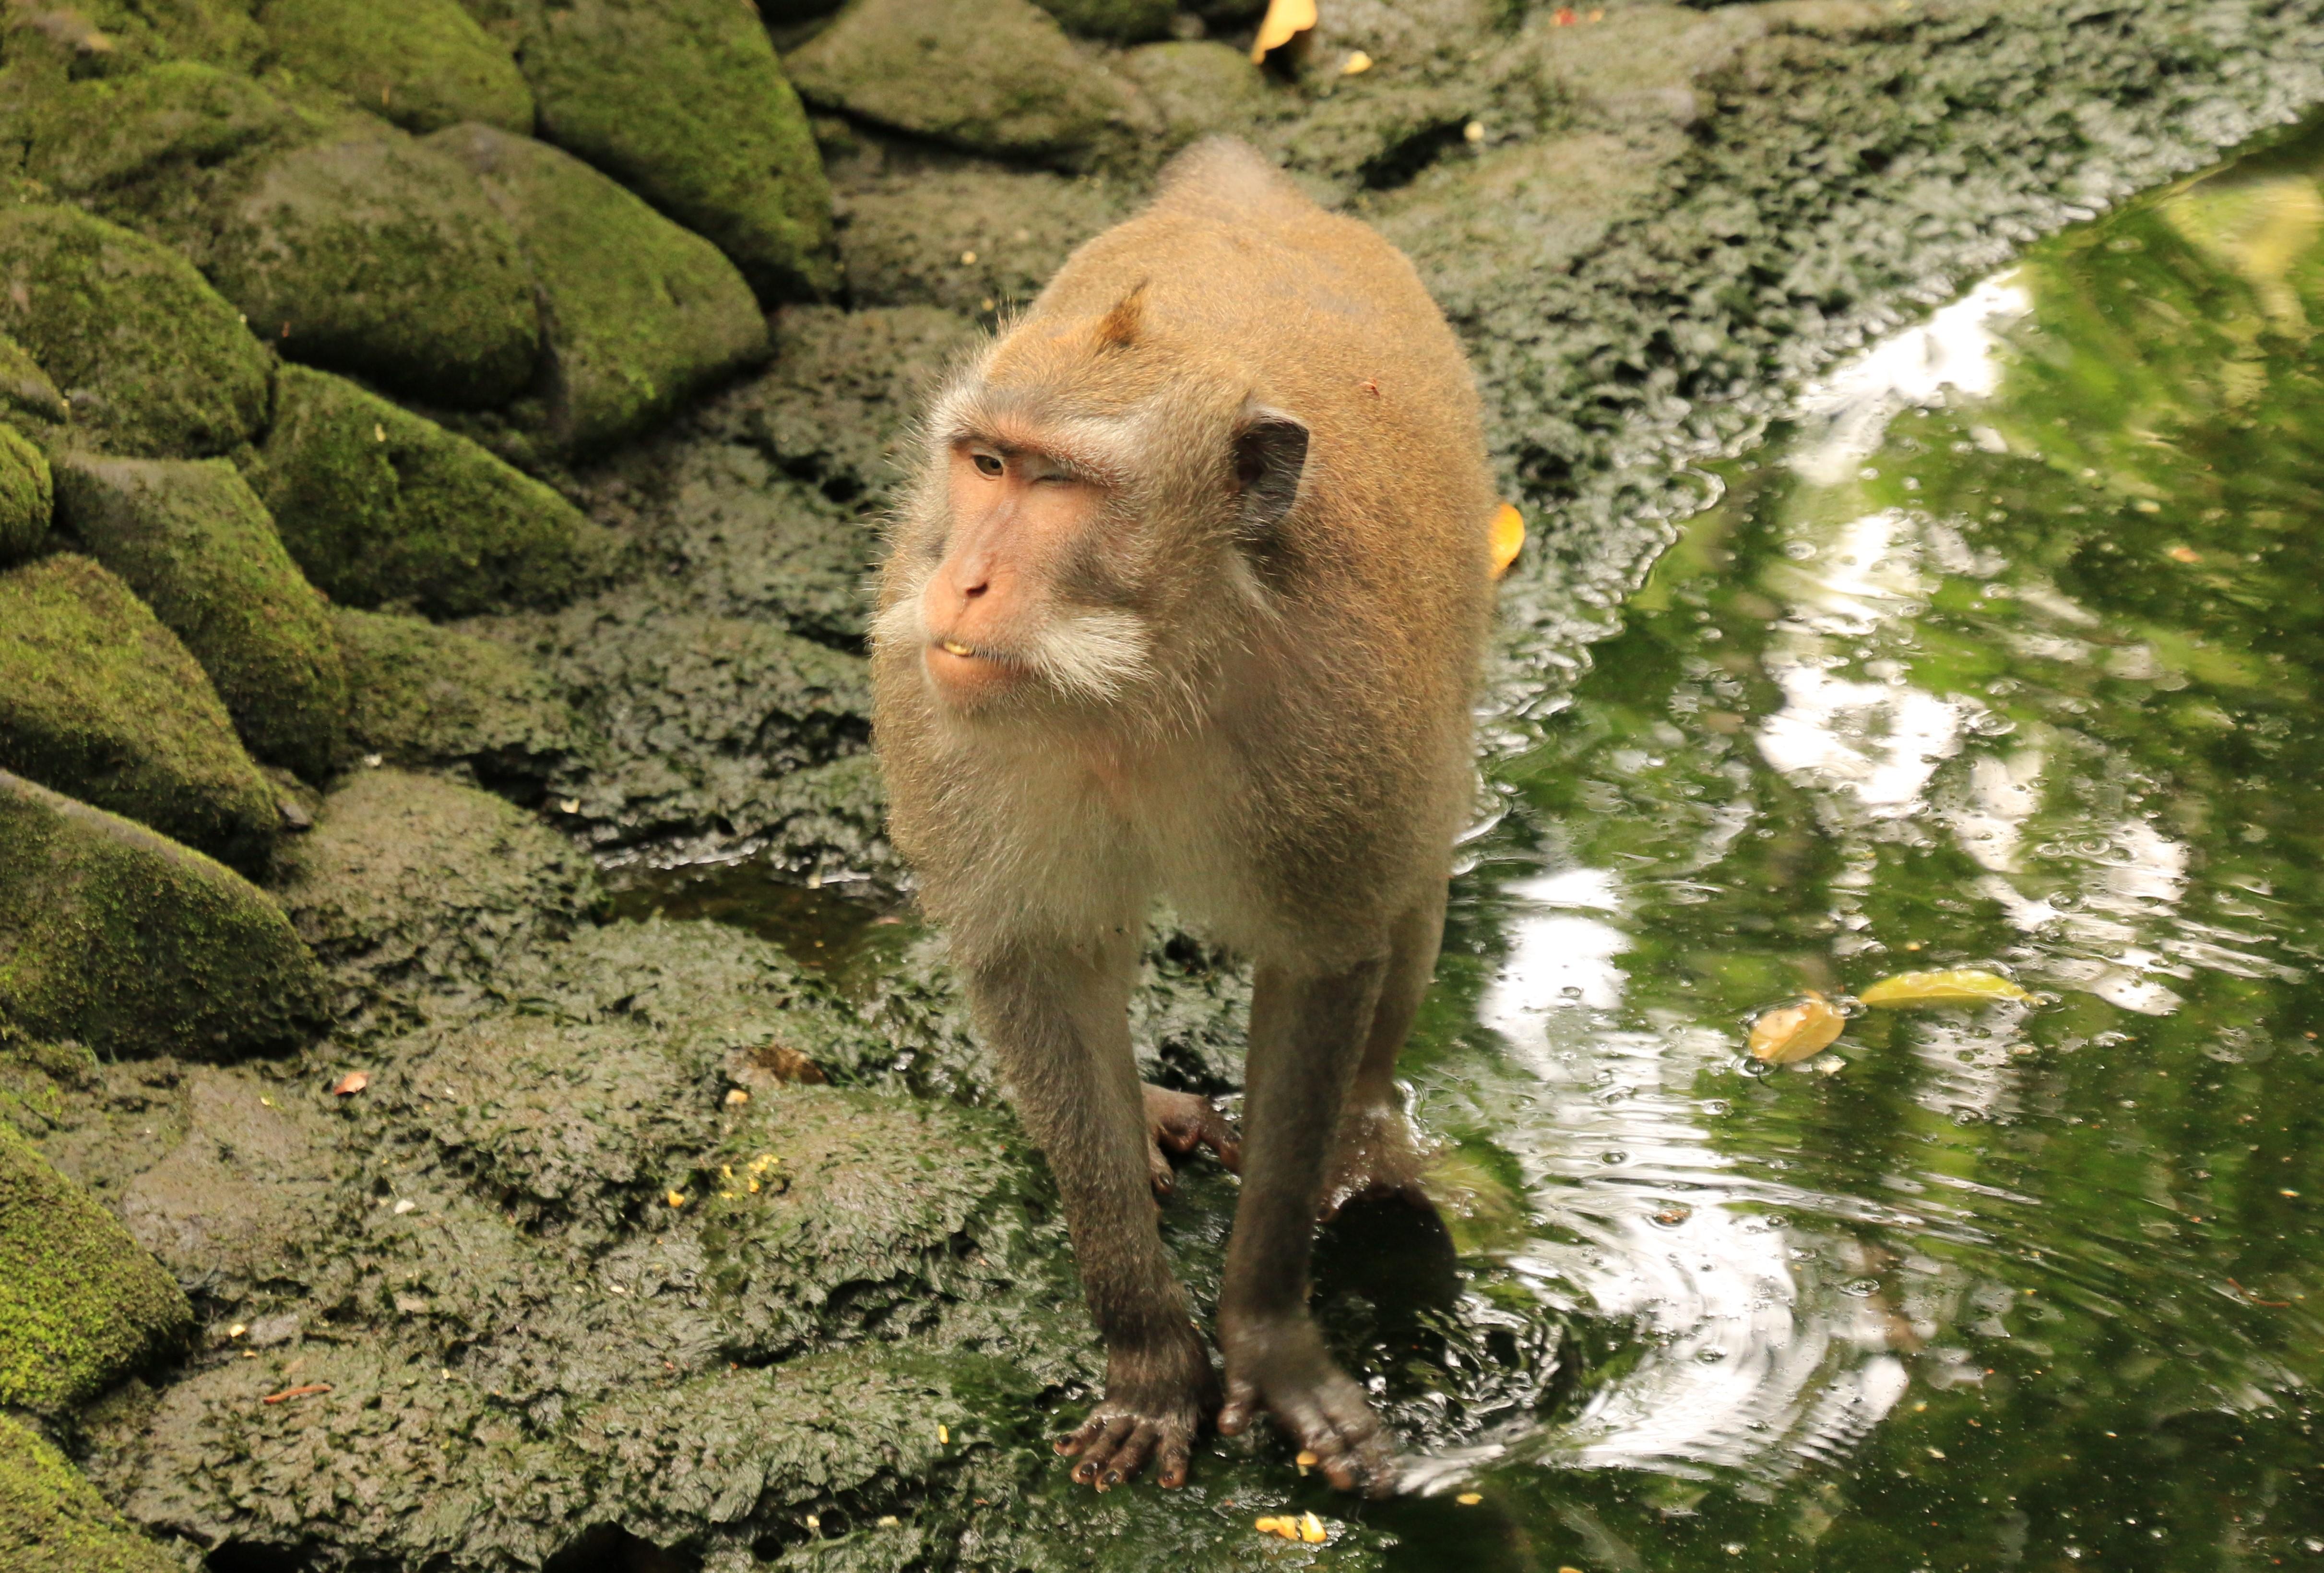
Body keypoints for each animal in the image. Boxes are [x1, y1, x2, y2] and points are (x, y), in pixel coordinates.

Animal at [869, 136, 1498, 1497]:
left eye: (1061, 484)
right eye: (986, 464)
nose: (963, 580)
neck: (1135, 678)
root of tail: (1241, 194)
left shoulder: (1336, 720)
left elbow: (1327, 962)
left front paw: (1266, 1334)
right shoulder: (941, 709)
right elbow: (1034, 959)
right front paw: (1151, 1360)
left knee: (1414, 878)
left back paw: (1366, 1136)